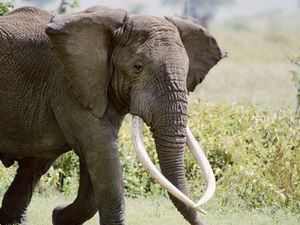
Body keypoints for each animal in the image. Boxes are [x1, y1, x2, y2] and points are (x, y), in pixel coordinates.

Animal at [0, 5, 225, 225]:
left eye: (186, 73)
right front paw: (60, 215)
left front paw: (59, 216)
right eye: (137, 67)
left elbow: (95, 165)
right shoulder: (68, 84)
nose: (204, 215)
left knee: (34, 166)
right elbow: (102, 153)